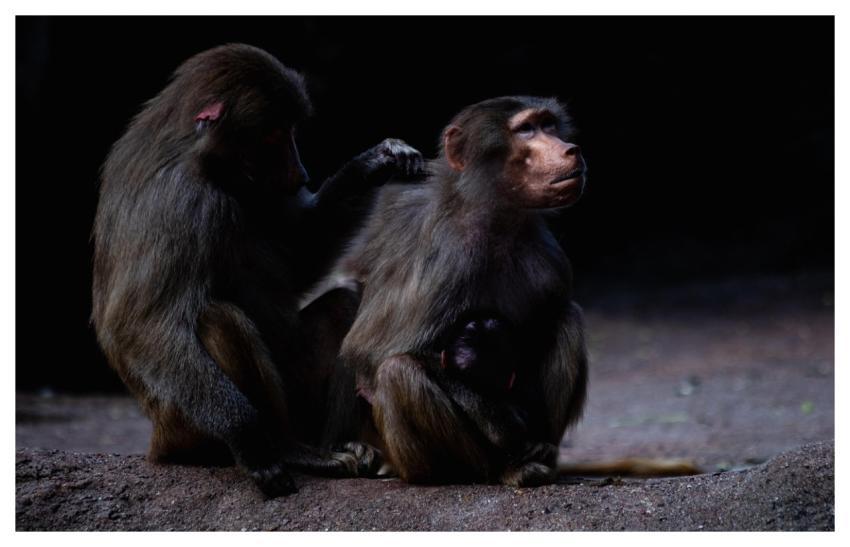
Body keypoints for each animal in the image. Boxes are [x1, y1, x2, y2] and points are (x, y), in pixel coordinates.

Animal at [91, 43, 424, 498]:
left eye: (290, 131)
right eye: (273, 137)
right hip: (182, 419)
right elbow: (139, 324)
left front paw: (377, 161)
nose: (301, 174)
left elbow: (299, 256)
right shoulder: (179, 202)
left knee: (343, 305)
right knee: (218, 319)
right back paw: (287, 448)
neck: (201, 160)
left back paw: (335, 443)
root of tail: (158, 438)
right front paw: (249, 438)